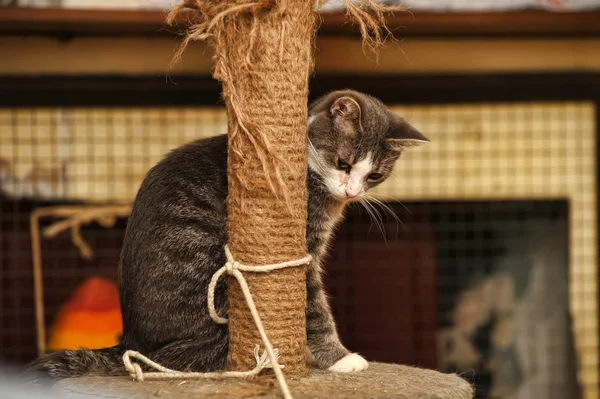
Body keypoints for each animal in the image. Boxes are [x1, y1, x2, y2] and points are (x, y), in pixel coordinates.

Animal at [23, 90, 426, 384]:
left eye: (374, 176)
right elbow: (314, 307)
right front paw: (341, 359)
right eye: (343, 163)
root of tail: (129, 343)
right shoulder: (304, 251)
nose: (352, 192)